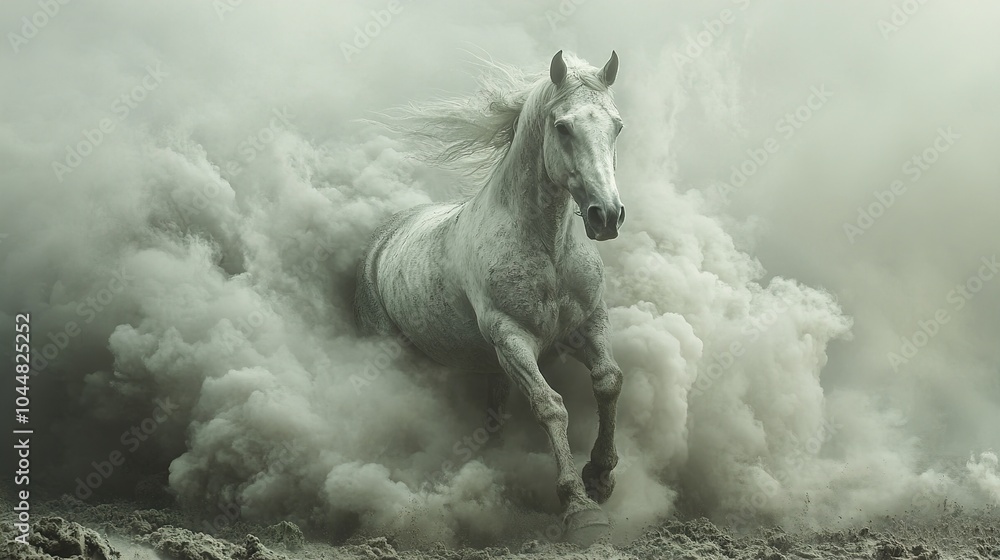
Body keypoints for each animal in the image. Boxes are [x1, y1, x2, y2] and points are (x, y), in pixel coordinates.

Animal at [354, 50, 626, 545]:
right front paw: (580, 508)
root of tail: (382, 239)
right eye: (563, 127)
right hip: (397, 352)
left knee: (495, 418)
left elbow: (608, 381)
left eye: (616, 126)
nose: (607, 216)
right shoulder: (511, 338)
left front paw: (601, 477)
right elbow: (550, 406)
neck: (547, 247)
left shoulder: (589, 323)